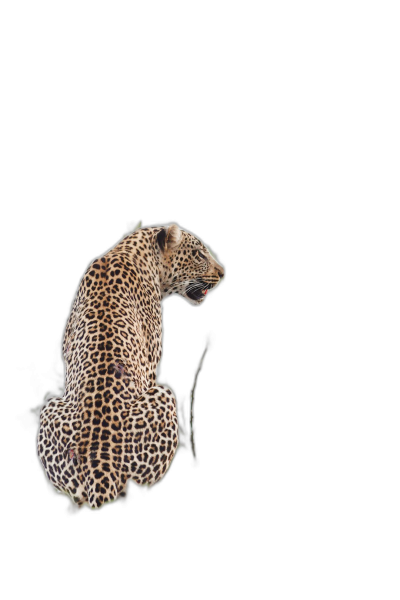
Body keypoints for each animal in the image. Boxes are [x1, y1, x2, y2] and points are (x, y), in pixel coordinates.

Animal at [36, 223, 225, 508]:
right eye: (199, 255)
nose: (223, 274)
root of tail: (101, 463)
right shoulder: (149, 365)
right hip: (164, 396)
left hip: (49, 409)